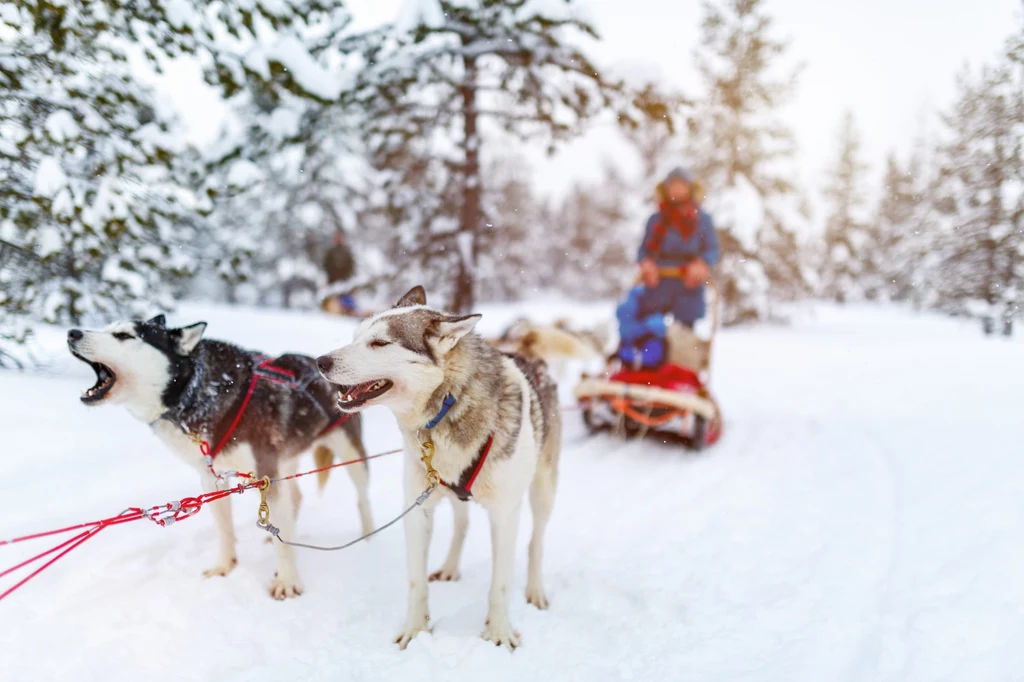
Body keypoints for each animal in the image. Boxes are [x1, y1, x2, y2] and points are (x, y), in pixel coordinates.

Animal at [66, 313, 374, 593]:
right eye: (107, 328)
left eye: (124, 336)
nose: (72, 332)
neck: (196, 392)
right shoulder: (212, 477)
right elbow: (224, 529)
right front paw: (224, 567)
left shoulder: (265, 473)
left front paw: (287, 582)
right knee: (294, 499)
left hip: (350, 455)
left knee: (361, 499)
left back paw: (368, 539)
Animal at [317, 284, 565, 647]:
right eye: (355, 336)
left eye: (380, 343)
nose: (320, 361)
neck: (448, 404)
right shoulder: (417, 509)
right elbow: (416, 582)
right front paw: (416, 630)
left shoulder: (505, 514)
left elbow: (501, 585)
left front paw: (499, 632)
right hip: (449, 493)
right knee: (462, 524)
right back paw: (449, 567)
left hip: (543, 491)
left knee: (536, 543)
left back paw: (535, 590)